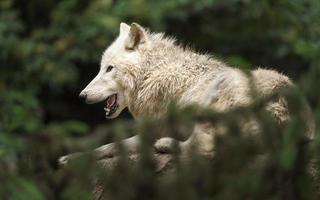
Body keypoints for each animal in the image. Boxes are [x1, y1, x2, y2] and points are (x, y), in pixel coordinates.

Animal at [58, 22, 314, 165]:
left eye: (109, 68)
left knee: (204, 149)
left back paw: (166, 146)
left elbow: (109, 146)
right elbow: (105, 147)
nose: (81, 96)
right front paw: (70, 158)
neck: (154, 73)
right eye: (101, 67)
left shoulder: (155, 130)